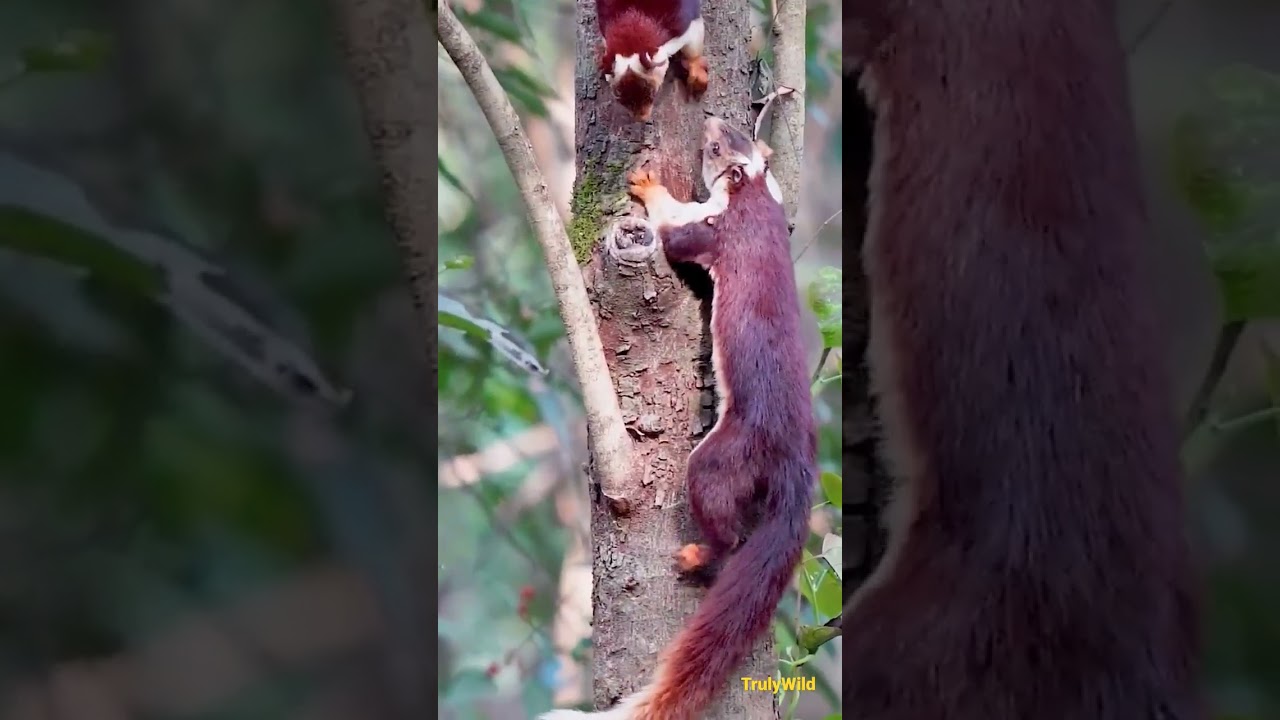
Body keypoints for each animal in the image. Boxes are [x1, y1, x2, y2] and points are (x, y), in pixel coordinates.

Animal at [540, 117, 814, 720]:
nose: (710, 118)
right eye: (728, 131)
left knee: (727, 533)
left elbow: (672, 229)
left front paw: (646, 183)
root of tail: (798, 469)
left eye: (714, 148)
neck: (755, 199)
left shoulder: (709, 229)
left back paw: (693, 556)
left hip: (721, 458)